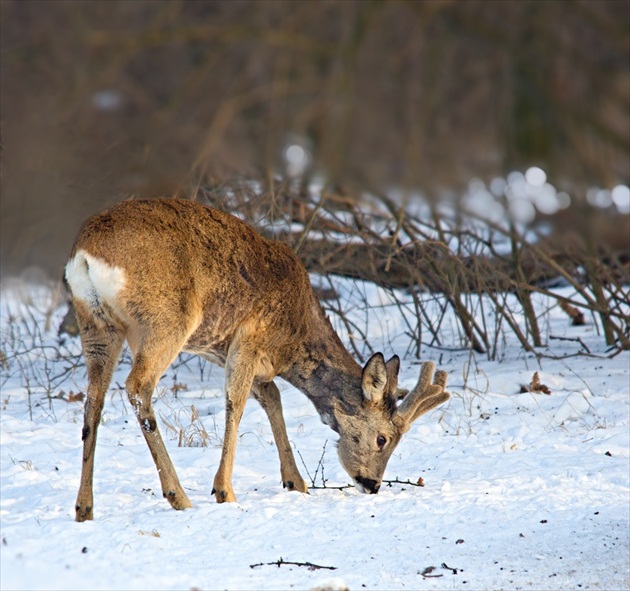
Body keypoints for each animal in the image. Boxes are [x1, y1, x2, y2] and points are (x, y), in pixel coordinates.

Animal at [64, 197, 452, 520]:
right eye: (383, 439)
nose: (371, 484)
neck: (292, 340)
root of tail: (84, 255)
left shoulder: (222, 350)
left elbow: (271, 398)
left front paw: (296, 482)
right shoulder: (249, 336)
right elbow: (236, 403)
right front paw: (224, 490)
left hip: (96, 325)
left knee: (94, 399)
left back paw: (84, 507)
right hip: (165, 320)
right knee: (137, 386)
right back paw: (178, 495)